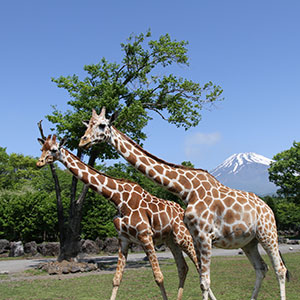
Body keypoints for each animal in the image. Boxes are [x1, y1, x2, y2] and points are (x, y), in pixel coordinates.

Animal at [38, 134, 202, 300]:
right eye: (42, 149)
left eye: (54, 149)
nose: (39, 162)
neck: (118, 199)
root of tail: (182, 210)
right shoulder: (123, 239)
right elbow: (117, 279)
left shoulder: (145, 236)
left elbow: (159, 277)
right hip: (171, 240)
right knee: (183, 267)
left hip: (183, 237)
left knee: (198, 265)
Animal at [78, 108, 290, 300]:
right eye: (87, 125)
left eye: (102, 125)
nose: (83, 141)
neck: (187, 190)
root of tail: (269, 208)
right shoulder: (195, 237)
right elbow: (201, 279)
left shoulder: (205, 235)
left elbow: (205, 282)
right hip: (248, 241)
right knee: (261, 268)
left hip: (267, 234)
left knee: (280, 269)